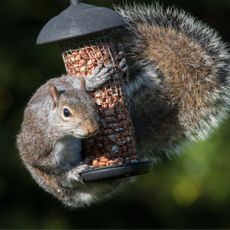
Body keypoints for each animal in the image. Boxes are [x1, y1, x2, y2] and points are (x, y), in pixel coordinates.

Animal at [17, 3, 230, 208]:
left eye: (93, 104)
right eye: (66, 113)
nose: (92, 129)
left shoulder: (65, 82)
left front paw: (94, 79)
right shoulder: (39, 147)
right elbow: (52, 168)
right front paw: (72, 172)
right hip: (50, 183)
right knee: (61, 182)